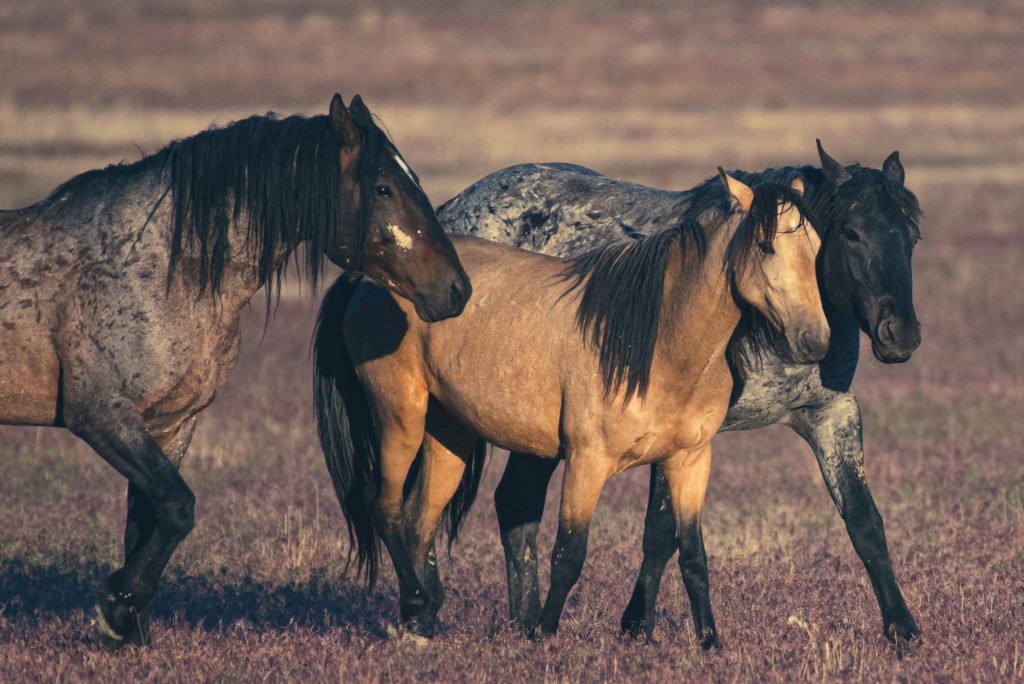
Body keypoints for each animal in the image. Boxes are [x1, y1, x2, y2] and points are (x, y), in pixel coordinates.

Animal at [0, 93, 471, 651]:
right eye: (382, 187)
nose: (457, 289)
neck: (158, 264)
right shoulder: (99, 415)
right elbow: (178, 507)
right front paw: (116, 606)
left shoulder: (169, 424)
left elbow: (148, 521)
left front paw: (125, 621)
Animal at [315, 171, 827, 643]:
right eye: (765, 246)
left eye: (817, 246)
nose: (815, 341)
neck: (655, 342)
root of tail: (370, 277)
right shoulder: (587, 461)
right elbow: (569, 553)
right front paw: (543, 633)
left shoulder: (689, 461)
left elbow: (693, 556)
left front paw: (709, 642)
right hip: (401, 416)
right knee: (386, 507)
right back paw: (418, 608)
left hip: (450, 433)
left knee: (420, 520)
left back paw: (420, 622)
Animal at [436, 140, 925, 647]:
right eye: (851, 233)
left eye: (913, 237)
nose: (901, 335)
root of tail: (451, 209)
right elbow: (660, 531)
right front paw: (637, 625)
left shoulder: (830, 413)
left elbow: (864, 520)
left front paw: (902, 628)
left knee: (517, 502)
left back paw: (526, 622)